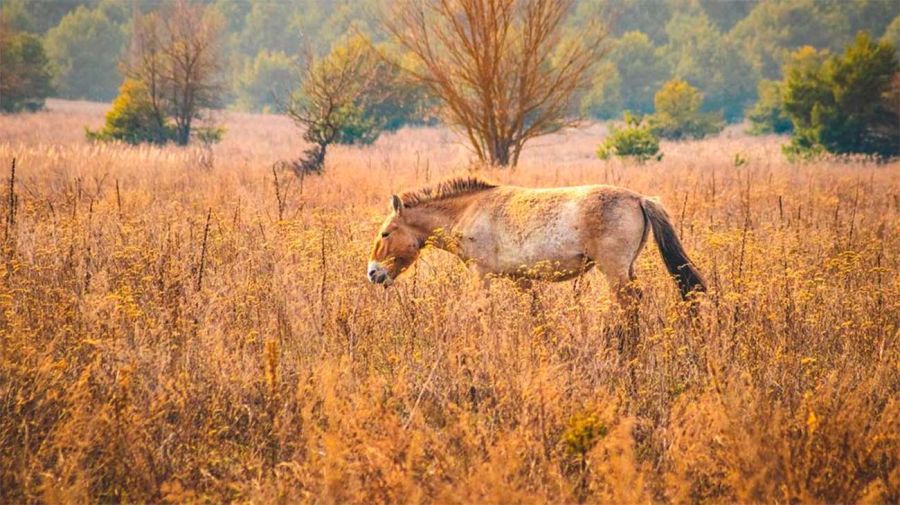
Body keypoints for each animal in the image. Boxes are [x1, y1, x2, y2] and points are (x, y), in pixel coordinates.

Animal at [367, 176, 705, 307]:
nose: (372, 272)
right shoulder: (522, 280)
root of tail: (639, 198)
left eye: (386, 233)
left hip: (615, 272)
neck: (469, 210)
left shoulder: (480, 275)